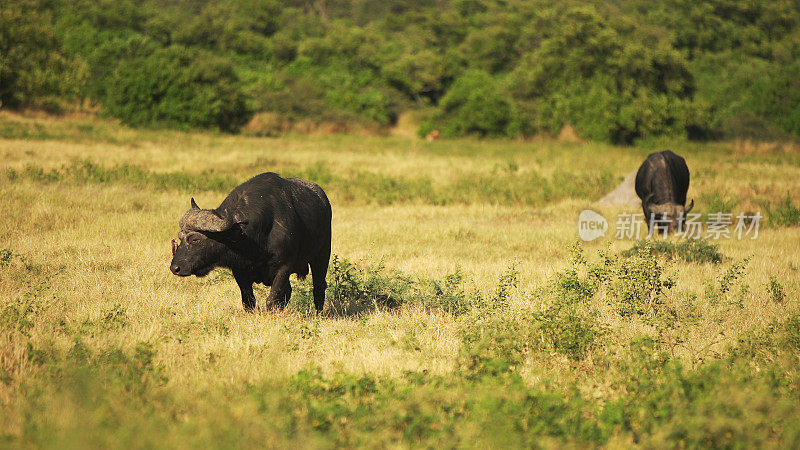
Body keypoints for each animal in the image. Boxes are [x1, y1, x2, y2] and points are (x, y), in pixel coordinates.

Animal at [169, 173, 332, 312]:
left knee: (318, 287)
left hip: (322, 256)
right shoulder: (239, 270)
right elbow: (249, 302)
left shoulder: (284, 267)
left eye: (194, 239)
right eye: (180, 238)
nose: (175, 268)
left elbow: (272, 300)